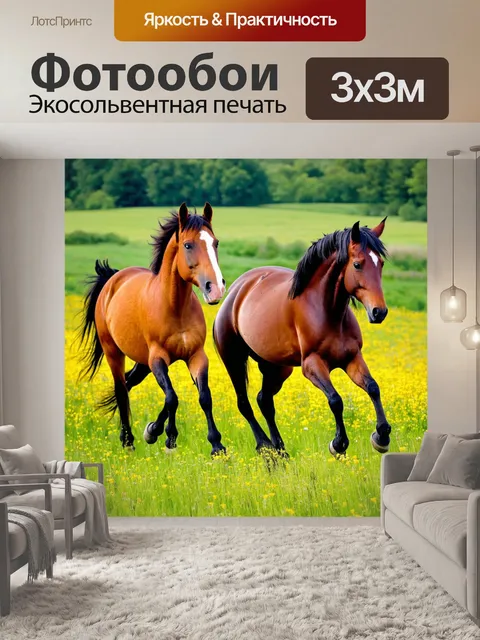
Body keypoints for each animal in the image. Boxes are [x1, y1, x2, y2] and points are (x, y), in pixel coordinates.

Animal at [78, 203, 227, 454]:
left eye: (215, 243)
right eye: (188, 245)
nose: (215, 288)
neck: (175, 307)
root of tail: (113, 279)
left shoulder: (195, 356)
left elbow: (203, 396)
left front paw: (216, 445)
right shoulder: (157, 357)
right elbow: (172, 398)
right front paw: (165, 436)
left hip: (142, 361)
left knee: (129, 383)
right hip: (113, 352)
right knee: (121, 390)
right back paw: (128, 442)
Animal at [213, 219, 391, 458]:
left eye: (380, 263)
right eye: (357, 264)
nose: (379, 312)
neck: (329, 313)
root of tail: (235, 291)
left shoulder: (352, 358)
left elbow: (373, 387)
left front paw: (381, 436)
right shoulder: (312, 364)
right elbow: (335, 400)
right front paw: (338, 444)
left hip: (277, 368)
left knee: (264, 400)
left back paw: (280, 451)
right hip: (233, 360)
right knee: (244, 403)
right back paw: (266, 448)